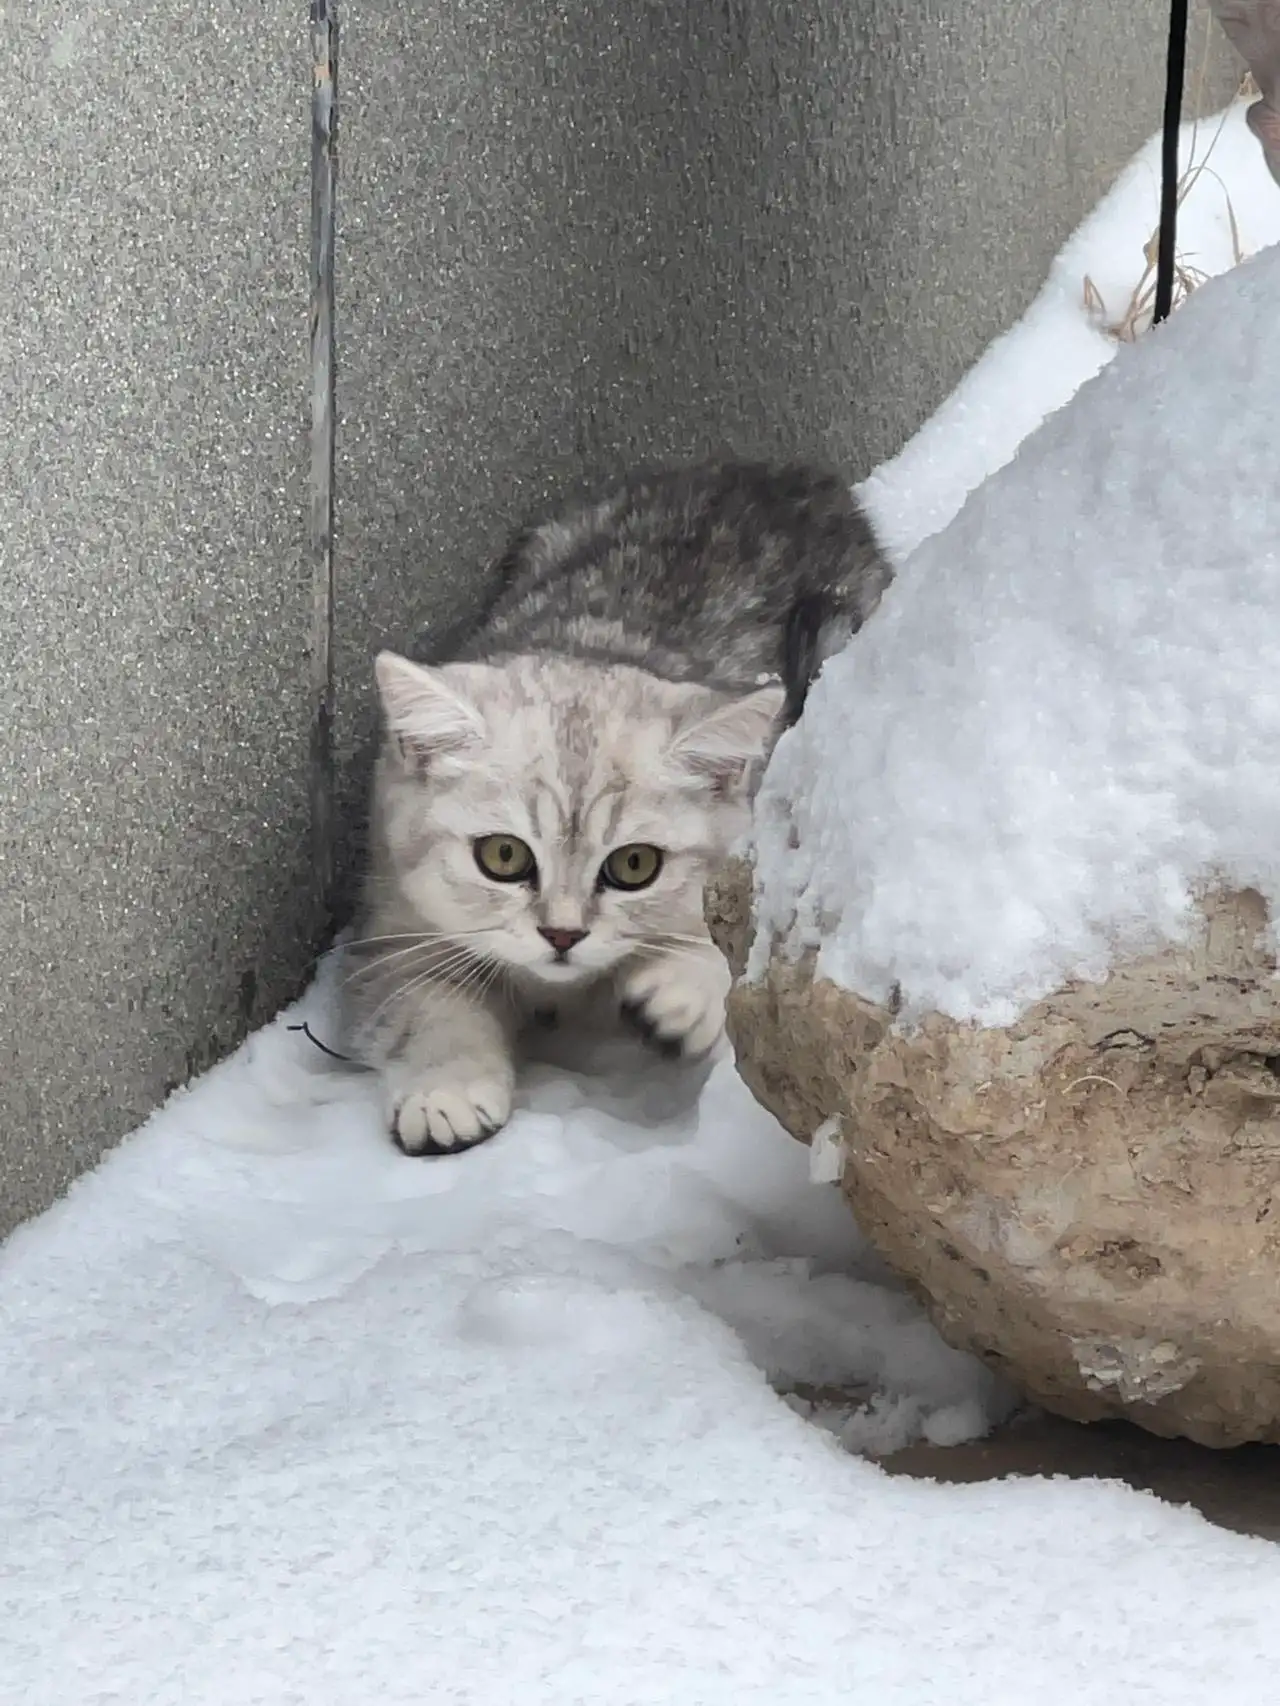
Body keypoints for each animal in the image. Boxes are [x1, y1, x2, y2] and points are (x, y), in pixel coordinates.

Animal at [346, 460, 894, 1160]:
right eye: (503, 856)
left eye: (635, 865)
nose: (562, 935)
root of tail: (791, 478)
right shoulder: (389, 921)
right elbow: (425, 1002)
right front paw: (446, 1087)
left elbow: (742, 936)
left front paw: (683, 988)